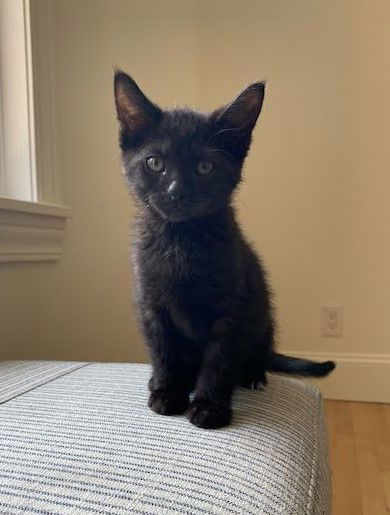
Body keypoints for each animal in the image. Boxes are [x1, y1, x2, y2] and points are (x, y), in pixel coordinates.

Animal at [112, 70, 336, 430]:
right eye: (155, 163)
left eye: (205, 167)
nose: (176, 192)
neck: (180, 239)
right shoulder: (151, 305)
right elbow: (164, 352)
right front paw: (167, 392)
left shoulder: (232, 309)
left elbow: (219, 360)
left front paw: (209, 407)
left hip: (263, 319)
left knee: (257, 352)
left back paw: (253, 375)